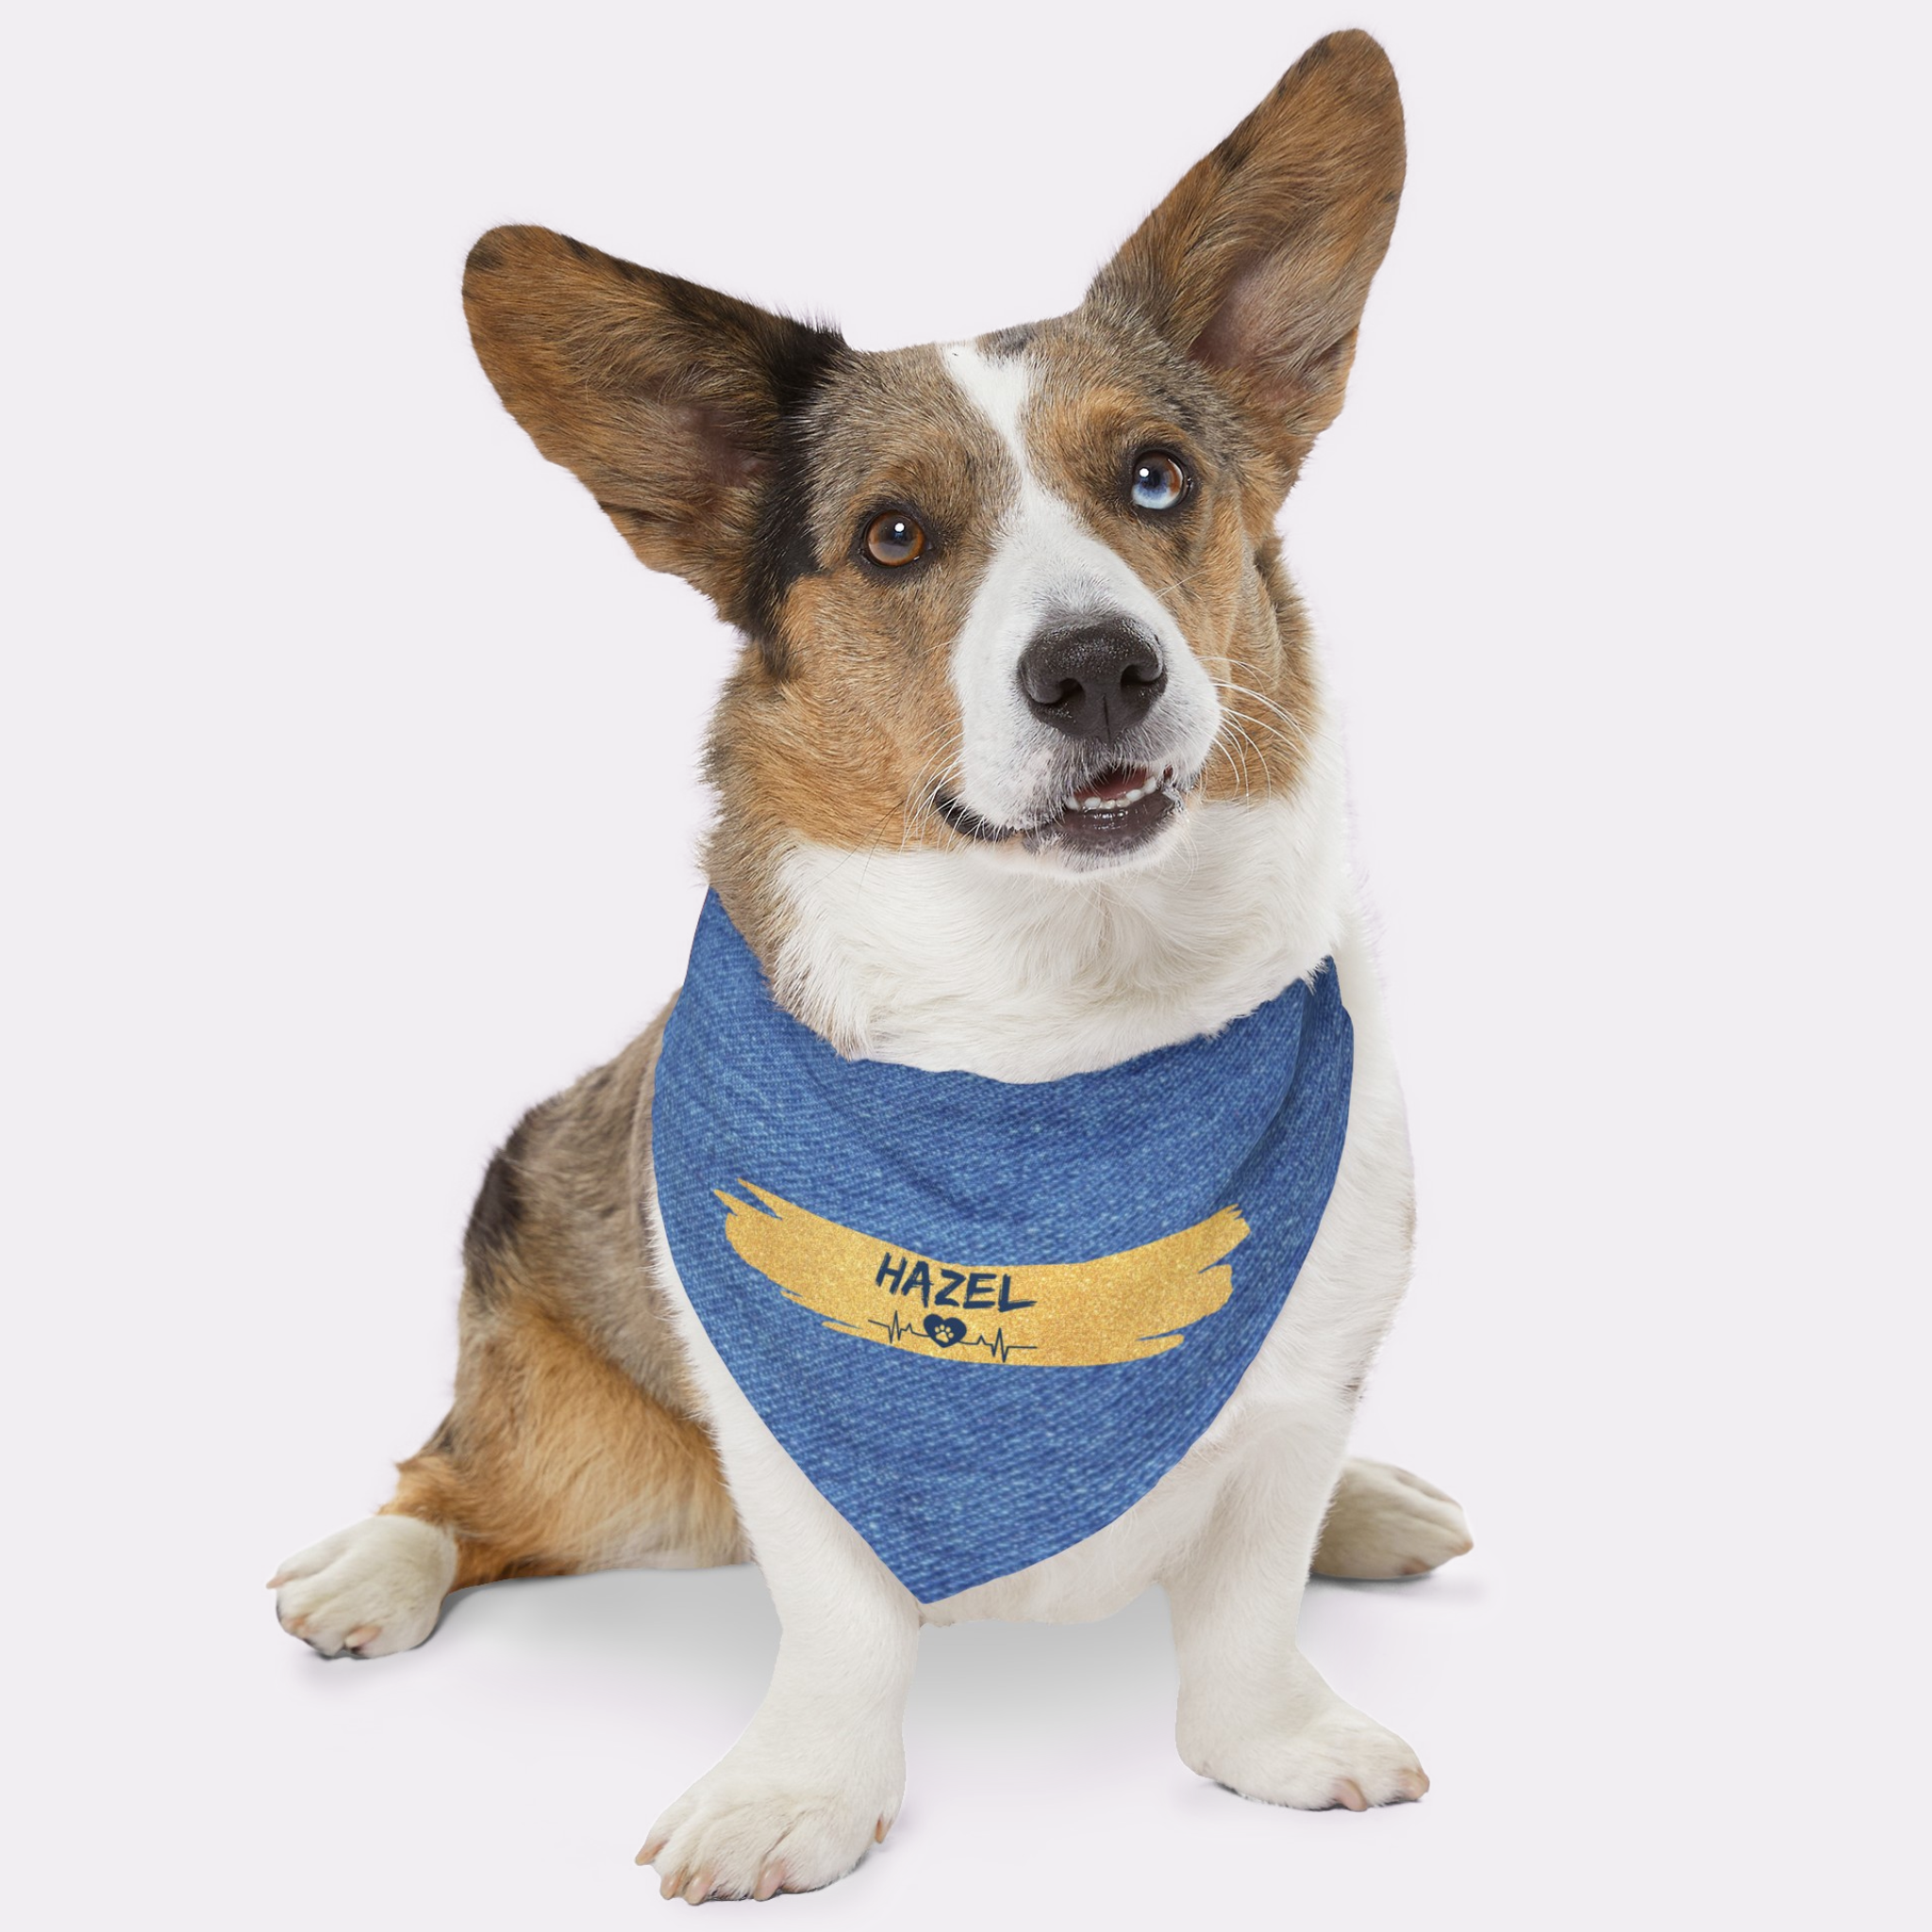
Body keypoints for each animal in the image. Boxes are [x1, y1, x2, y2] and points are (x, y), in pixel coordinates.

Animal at [272, 26, 1468, 1901]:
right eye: (894, 536)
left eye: (1156, 478)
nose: (1099, 670)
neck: (1058, 1036)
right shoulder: (780, 1429)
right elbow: (836, 1627)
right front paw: (797, 1798)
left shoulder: (1302, 1378)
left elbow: (1251, 1591)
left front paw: (1273, 1738)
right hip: (594, 1455)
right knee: (455, 1484)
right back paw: (370, 1569)